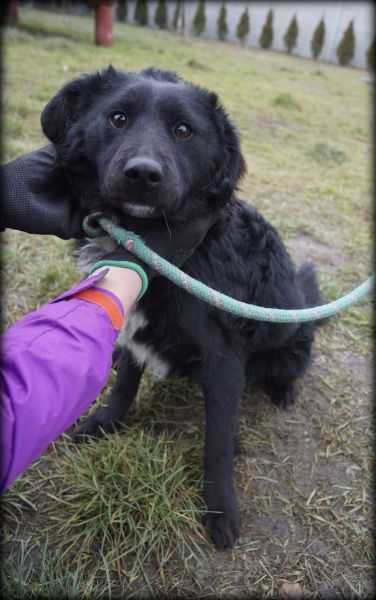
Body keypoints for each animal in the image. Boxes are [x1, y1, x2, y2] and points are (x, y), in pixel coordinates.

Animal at [41, 65, 324, 548]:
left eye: (183, 131)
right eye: (117, 118)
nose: (143, 174)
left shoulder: (225, 362)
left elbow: (218, 446)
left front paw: (220, 510)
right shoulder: (133, 324)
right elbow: (125, 384)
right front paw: (107, 422)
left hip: (291, 346)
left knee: (290, 368)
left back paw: (283, 391)